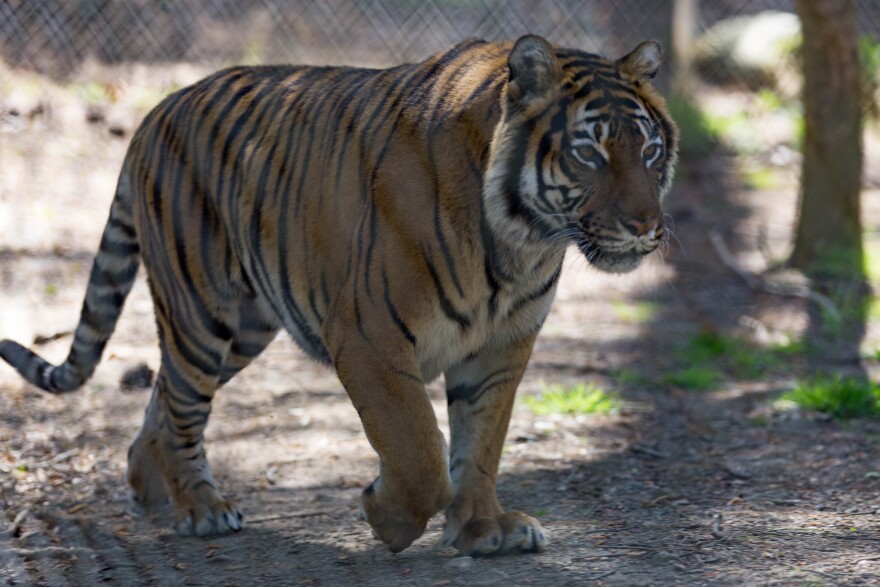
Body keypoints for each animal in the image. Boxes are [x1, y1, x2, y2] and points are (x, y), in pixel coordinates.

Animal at [0, 34, 676, 560]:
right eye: (589, 152)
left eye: (648, 150)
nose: (646, 225)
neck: (523, 241)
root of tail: (155, 111)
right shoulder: (370, 335)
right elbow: (419, 450)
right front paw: (389, 519)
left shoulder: (501, 348)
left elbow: (482, 443)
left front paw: (484, 529)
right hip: (202, 313)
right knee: (182, 404)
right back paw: (200, 508)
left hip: (246, 327)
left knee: (163, 395)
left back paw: (148, 484)